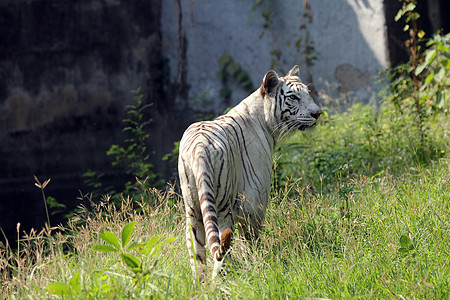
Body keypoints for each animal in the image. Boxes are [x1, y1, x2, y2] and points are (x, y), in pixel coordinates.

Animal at [178, 65, 322, 282]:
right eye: (294, 97)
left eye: (308, 93)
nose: (317, 113)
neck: (265, 122)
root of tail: (200, 146)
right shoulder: (254, 203)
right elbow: (252, 240)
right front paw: (258, 264)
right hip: (222, 207)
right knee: (222, 248)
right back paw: (220, 282)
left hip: (193, 211)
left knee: (198, 257)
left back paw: (201, 285)